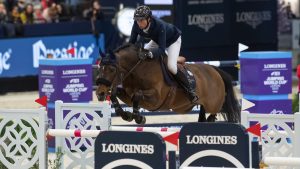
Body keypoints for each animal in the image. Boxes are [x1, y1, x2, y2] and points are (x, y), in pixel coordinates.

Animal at [95, 43, 240, 124]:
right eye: (100, 67)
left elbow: (138, 95)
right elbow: (115, 95)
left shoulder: (156, 99)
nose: (100, 93)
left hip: (213, 104)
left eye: (112, 69)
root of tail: (215, 70)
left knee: (214, 113)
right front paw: (126, 115)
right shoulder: (127, 95)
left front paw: (139, 118)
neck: (137, 70)